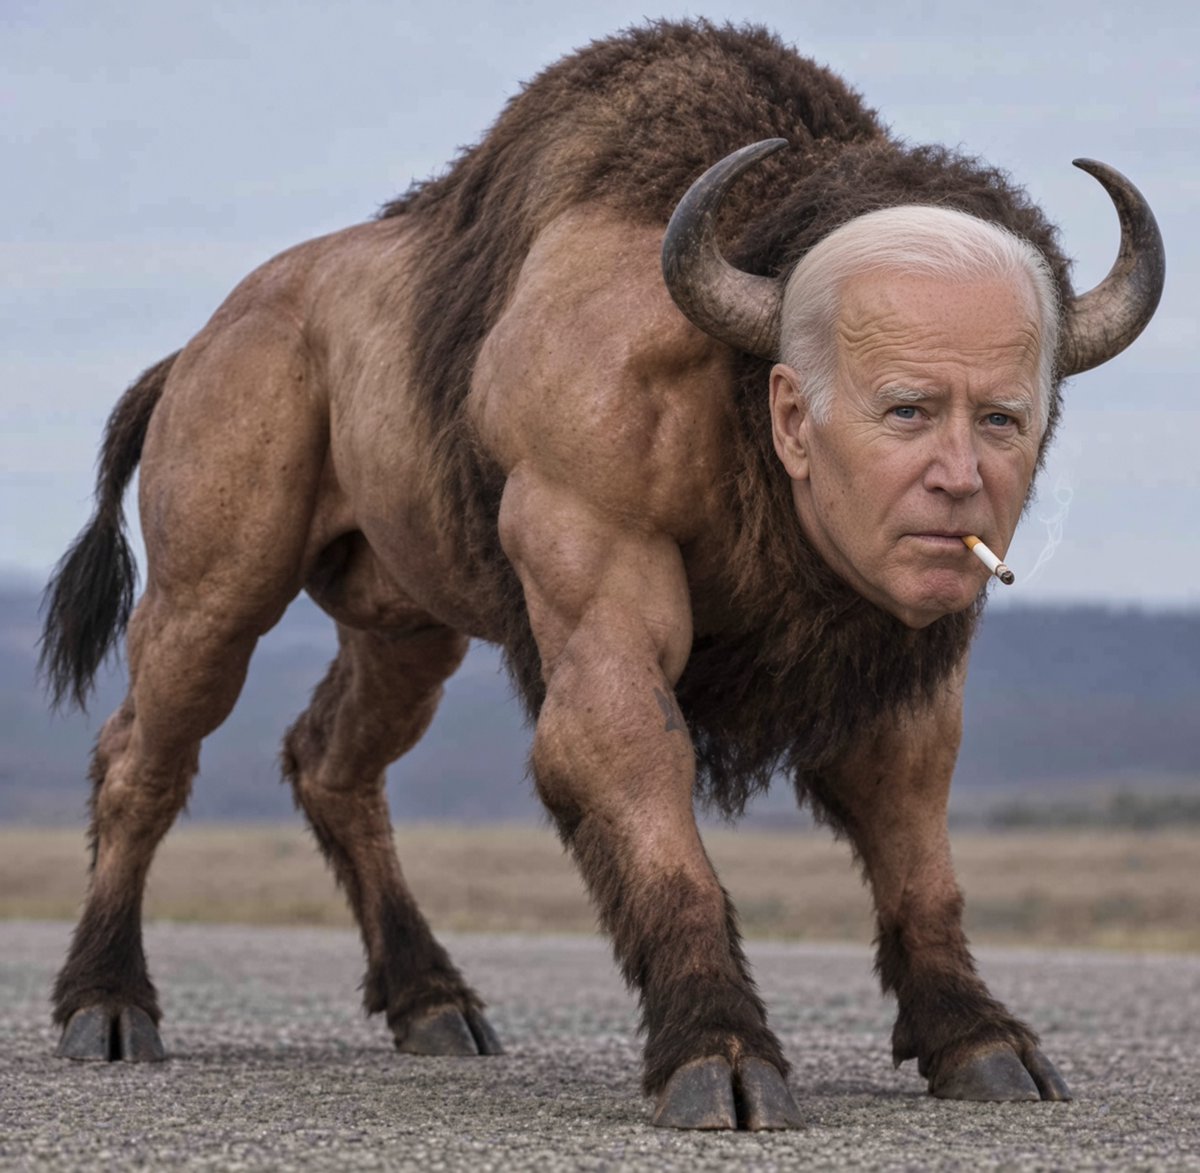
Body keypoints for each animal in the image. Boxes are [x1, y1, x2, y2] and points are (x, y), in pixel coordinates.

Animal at [41, 20, 1162, 1129]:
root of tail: (199, 348)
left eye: (1005, 414)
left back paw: (435, 1005)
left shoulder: (900, 666)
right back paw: (108, 1007)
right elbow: (646, 796)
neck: (746, 399)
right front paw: (722, 1057)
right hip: (214, 594)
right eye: (906, 407)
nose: (958, 489)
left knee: (331, 762)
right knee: (143, 757)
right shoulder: (597, 565)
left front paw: (982, 1039)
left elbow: (914, 841)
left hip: (403, 633)